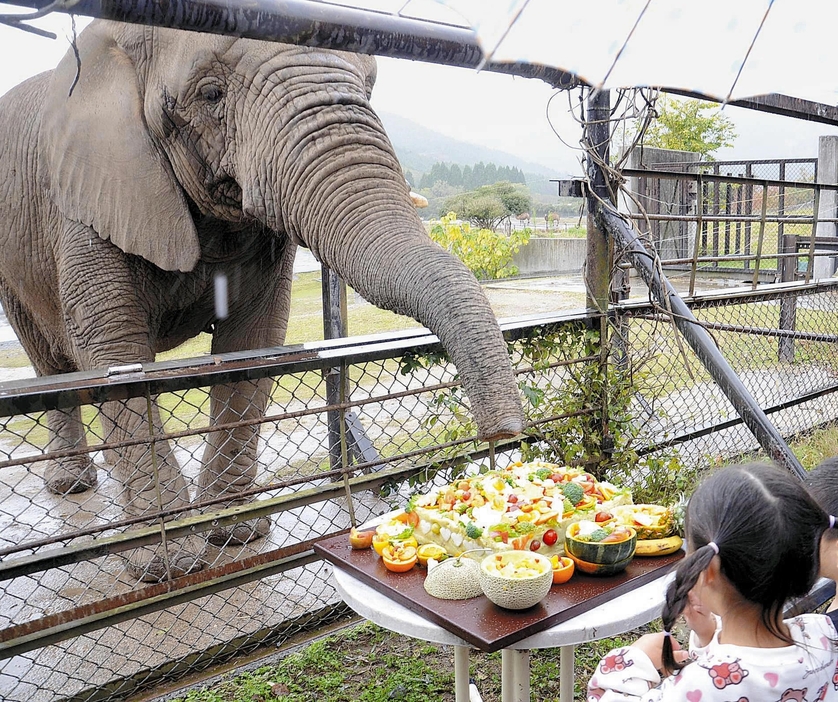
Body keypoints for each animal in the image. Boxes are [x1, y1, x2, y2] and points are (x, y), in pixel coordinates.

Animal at [0, 20, 524, 584]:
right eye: (210, 94)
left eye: (370, 86)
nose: (503, 437)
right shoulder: (90, 191)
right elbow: (117, 354)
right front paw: (164, 568)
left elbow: (252, 341)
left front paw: (238, 535)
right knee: (51, 359)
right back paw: (71, 487)